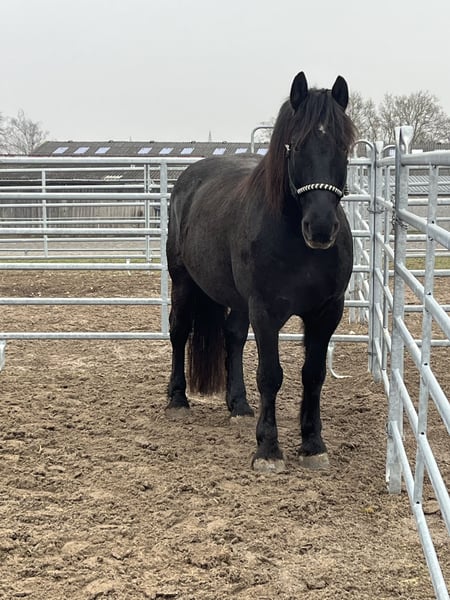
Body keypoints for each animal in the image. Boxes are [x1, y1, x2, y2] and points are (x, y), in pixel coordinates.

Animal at [166, 71, 357, 473]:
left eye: (343, 146)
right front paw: (268, 450)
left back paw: (238, 406)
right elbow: (271, 375)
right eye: (295, 146)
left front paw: (313, 445)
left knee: (233, 337)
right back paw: (177, 401)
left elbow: (313, 374)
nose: (321, 228)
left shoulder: (326, 312)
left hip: (237, 300)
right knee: (178, 330)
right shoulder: (266, 312)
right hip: (183, 281)